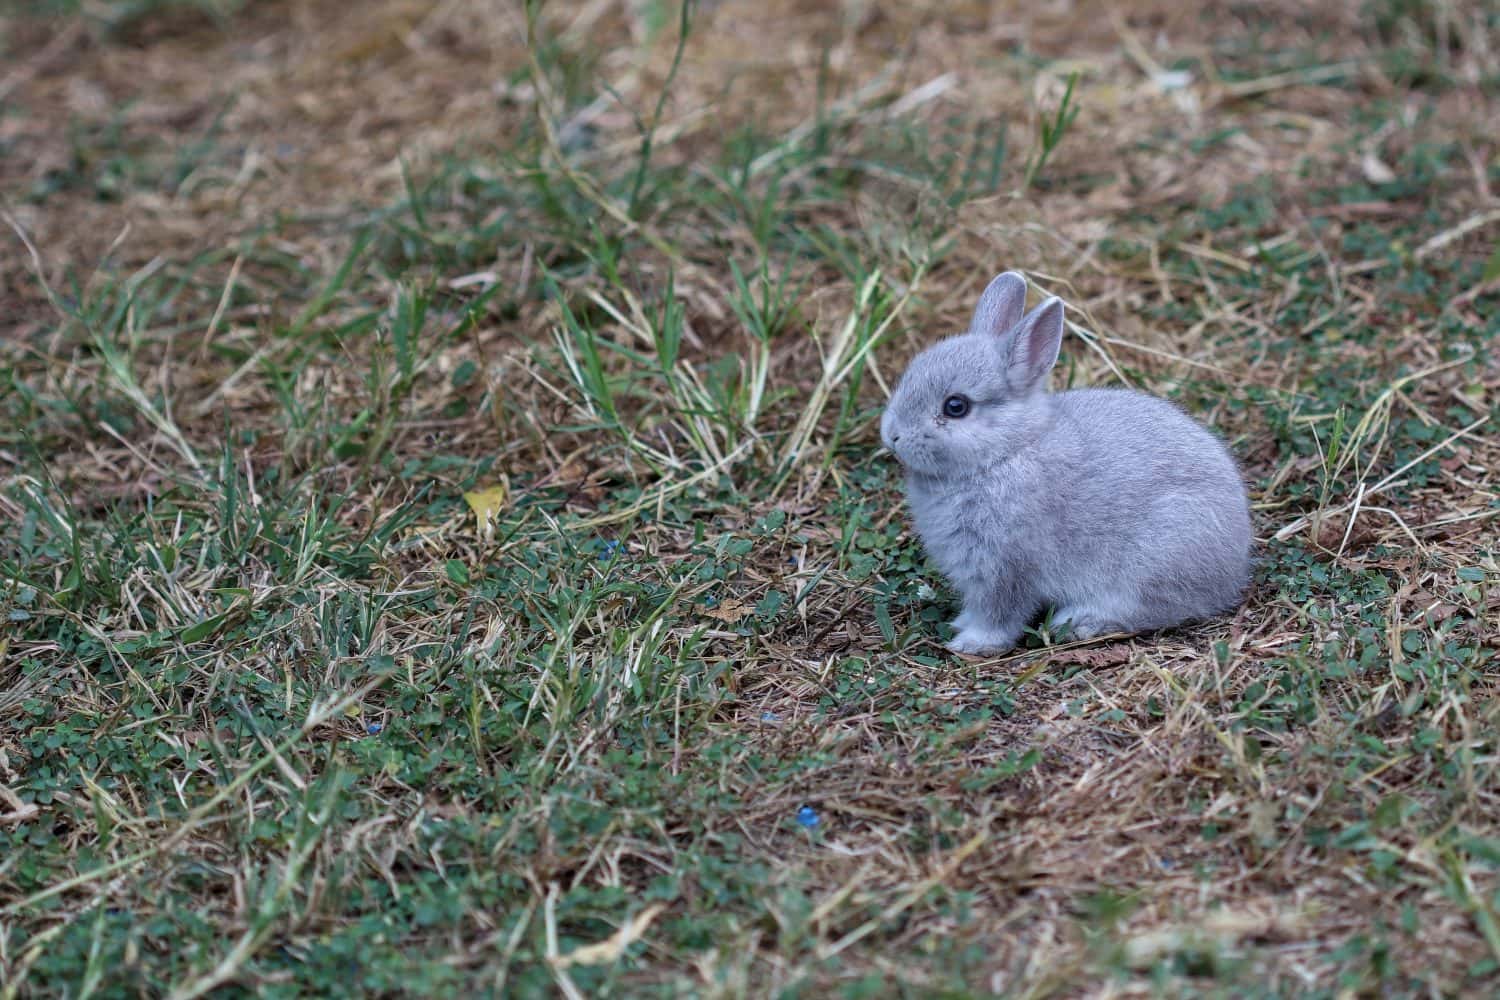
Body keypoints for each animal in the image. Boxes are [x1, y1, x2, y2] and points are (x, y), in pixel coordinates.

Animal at [876, 271, 1254, 656]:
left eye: (956, 406)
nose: (892, 436)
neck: (1006, 452)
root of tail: (1235, 565)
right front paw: (961, 624)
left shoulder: (1005, 567)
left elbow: (999, 613)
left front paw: (972, 644)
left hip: (1157, 556)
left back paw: (1081, 621)